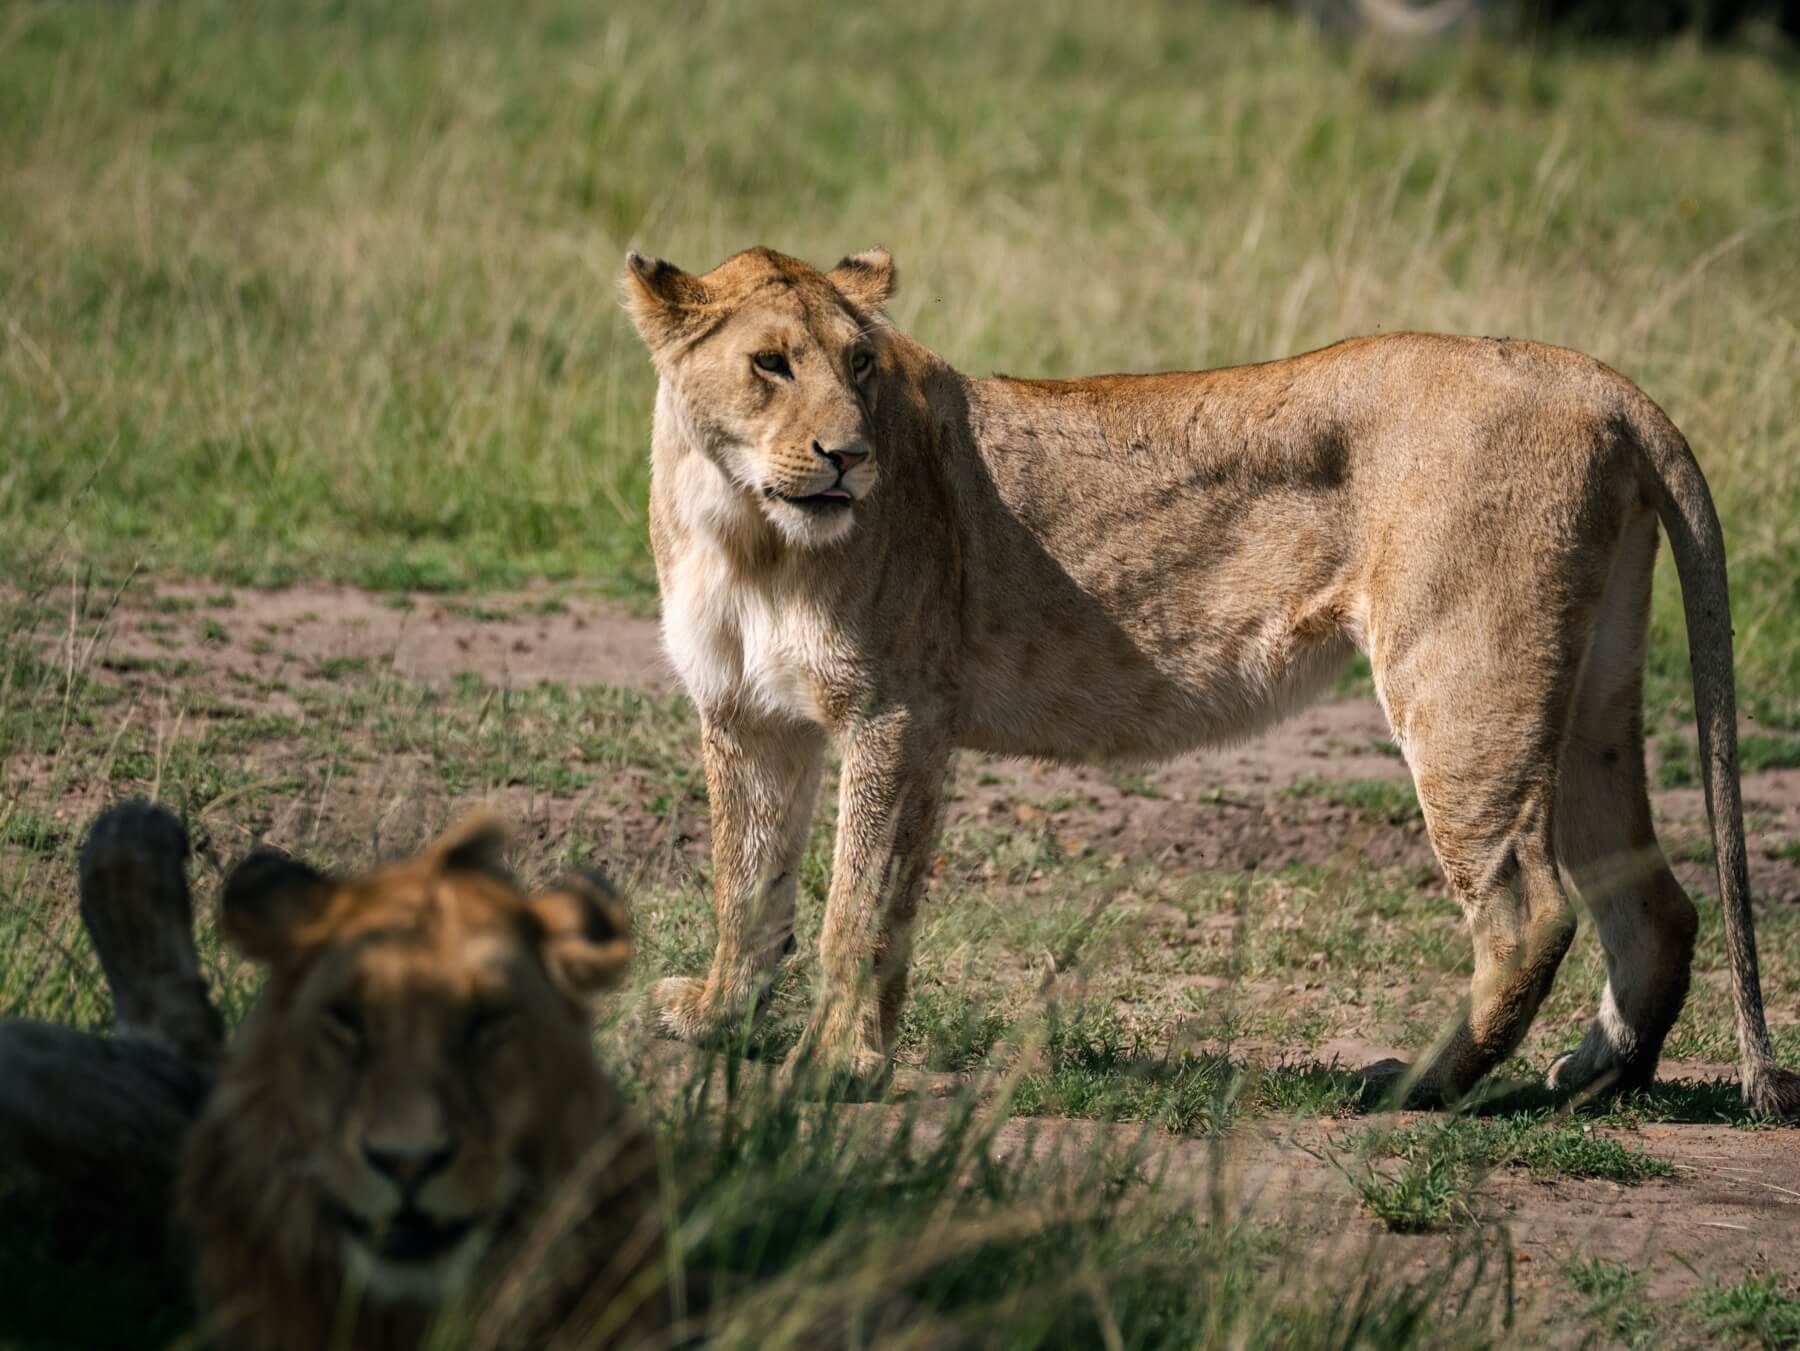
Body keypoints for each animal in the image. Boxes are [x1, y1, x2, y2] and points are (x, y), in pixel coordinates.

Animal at [621, 243, 1800, 1119]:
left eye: (861, 365)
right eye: (772, 364)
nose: (850, 456)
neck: (743, 527)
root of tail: (1594, 377)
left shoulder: (893, 711)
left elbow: (854, 903)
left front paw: (832, 1062)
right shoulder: (749, 716)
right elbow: (752, 878)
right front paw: (722, 1013)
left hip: (1466, 679)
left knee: (1529, 909)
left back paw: (1418, 1084)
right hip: (1591, 687)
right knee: (1656, 898)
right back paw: (1598, 1075)